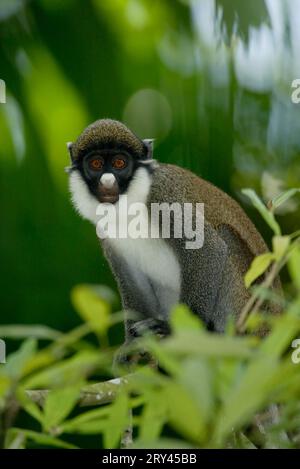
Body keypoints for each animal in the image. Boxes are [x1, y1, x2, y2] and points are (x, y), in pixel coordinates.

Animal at [67, 119, 278, 356]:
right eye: (95, 164)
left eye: (119, 163)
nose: (107, 181)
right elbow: (131, 276)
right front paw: (130, 346)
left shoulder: (162, 195)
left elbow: (209, 248)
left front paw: (174, 331)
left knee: (226, 236)